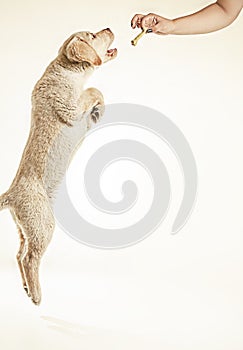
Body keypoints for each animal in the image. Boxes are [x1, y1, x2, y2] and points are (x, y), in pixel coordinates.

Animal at [0, 28, 117, 304]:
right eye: (93, 35)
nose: (109, 29)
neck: (68, 72)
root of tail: (11, 195)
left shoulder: (83, 118)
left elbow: (95, 99)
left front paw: (100, 110)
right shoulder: (70, 106)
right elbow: (93, 89)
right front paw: (98, 99)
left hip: (26, 228)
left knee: (20, 254)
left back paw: (26, 287)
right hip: (43, 225)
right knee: (30, 258)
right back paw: (37, 295)